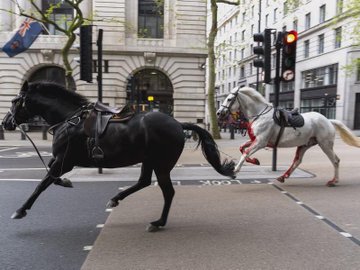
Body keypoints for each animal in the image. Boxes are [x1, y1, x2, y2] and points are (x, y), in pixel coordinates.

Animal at [2, 81, 235, 231]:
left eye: (14, 101)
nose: (5, 122)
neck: (69, 119)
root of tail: (178, 124)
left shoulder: (64, 161)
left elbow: (42, 183)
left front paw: (20, 210)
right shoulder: (60, 160)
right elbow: (50, 176)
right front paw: (66, 182)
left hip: (161, 164)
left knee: (167, 191)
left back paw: (158, 222)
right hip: (149, 160)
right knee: (143, 182)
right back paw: (116, 199)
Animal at [217, 86, 360, 186]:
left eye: (229, 99)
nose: (219, 113)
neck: (260, 115)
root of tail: (329, 121)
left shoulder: (261, 142)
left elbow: (245, 152)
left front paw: (234, 171)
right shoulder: (256, 140)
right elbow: (242, 148)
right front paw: (255, 161)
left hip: (325, 144)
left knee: (335, 160)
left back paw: (334, 181)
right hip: (305, 145)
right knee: (297, 161)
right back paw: (283, 176)